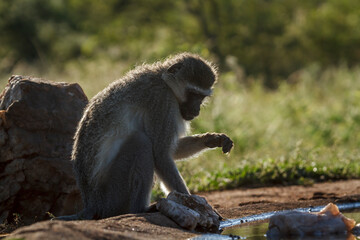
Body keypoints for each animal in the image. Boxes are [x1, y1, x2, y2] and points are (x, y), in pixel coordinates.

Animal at [56, 52, 232, 219]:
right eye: (192, 93)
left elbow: (170, 151)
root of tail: (91, 204)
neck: (164, 80)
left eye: (201, 96)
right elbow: (161, 154)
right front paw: (196, 206)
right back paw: (141, 209)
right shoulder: (162, 100)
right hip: (112, 194)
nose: (196, 110)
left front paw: (212, 138)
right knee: (140, 142)